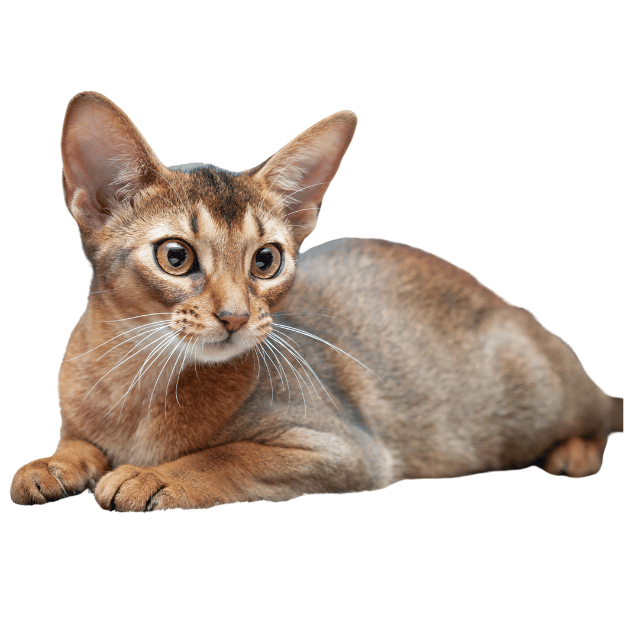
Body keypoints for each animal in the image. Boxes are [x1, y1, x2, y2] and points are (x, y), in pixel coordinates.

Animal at [9, 94, 620, 512]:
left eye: (266, 260)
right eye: (176, 256)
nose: (235, 317)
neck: (135, 378)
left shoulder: (344, 448)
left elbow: (228, 455)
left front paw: (154, 475)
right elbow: (76, 440)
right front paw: (53, 463)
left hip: (535, 393)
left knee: (599, 411)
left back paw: (573, 454)